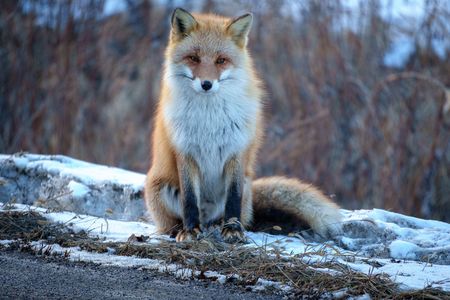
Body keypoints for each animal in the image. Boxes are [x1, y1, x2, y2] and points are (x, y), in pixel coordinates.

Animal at [144, 8, 342, 243]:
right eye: (193, 58)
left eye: (221, 60)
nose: (206, 84)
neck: (209, 118)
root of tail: (208, 219)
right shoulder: (185, 150)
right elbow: (190, 199)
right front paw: (190, 230)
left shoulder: (237, 150)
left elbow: (233, 198)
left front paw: (233, 230)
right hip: (160, 188)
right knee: (172, 222)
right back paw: (182, 229)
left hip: (246, 186)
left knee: (233, 213)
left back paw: (221, 226)